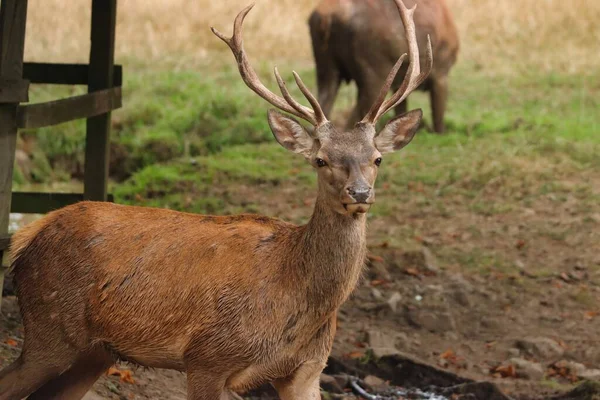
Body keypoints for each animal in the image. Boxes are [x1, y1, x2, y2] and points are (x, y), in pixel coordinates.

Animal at [0, 0, 432, 400]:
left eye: (377, 158)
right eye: (320, 160)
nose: (359, 193)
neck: (297, 304)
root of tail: (28, 234)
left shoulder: (309, 370)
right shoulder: (208, 357)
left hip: (95, 350)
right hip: (50, 325)